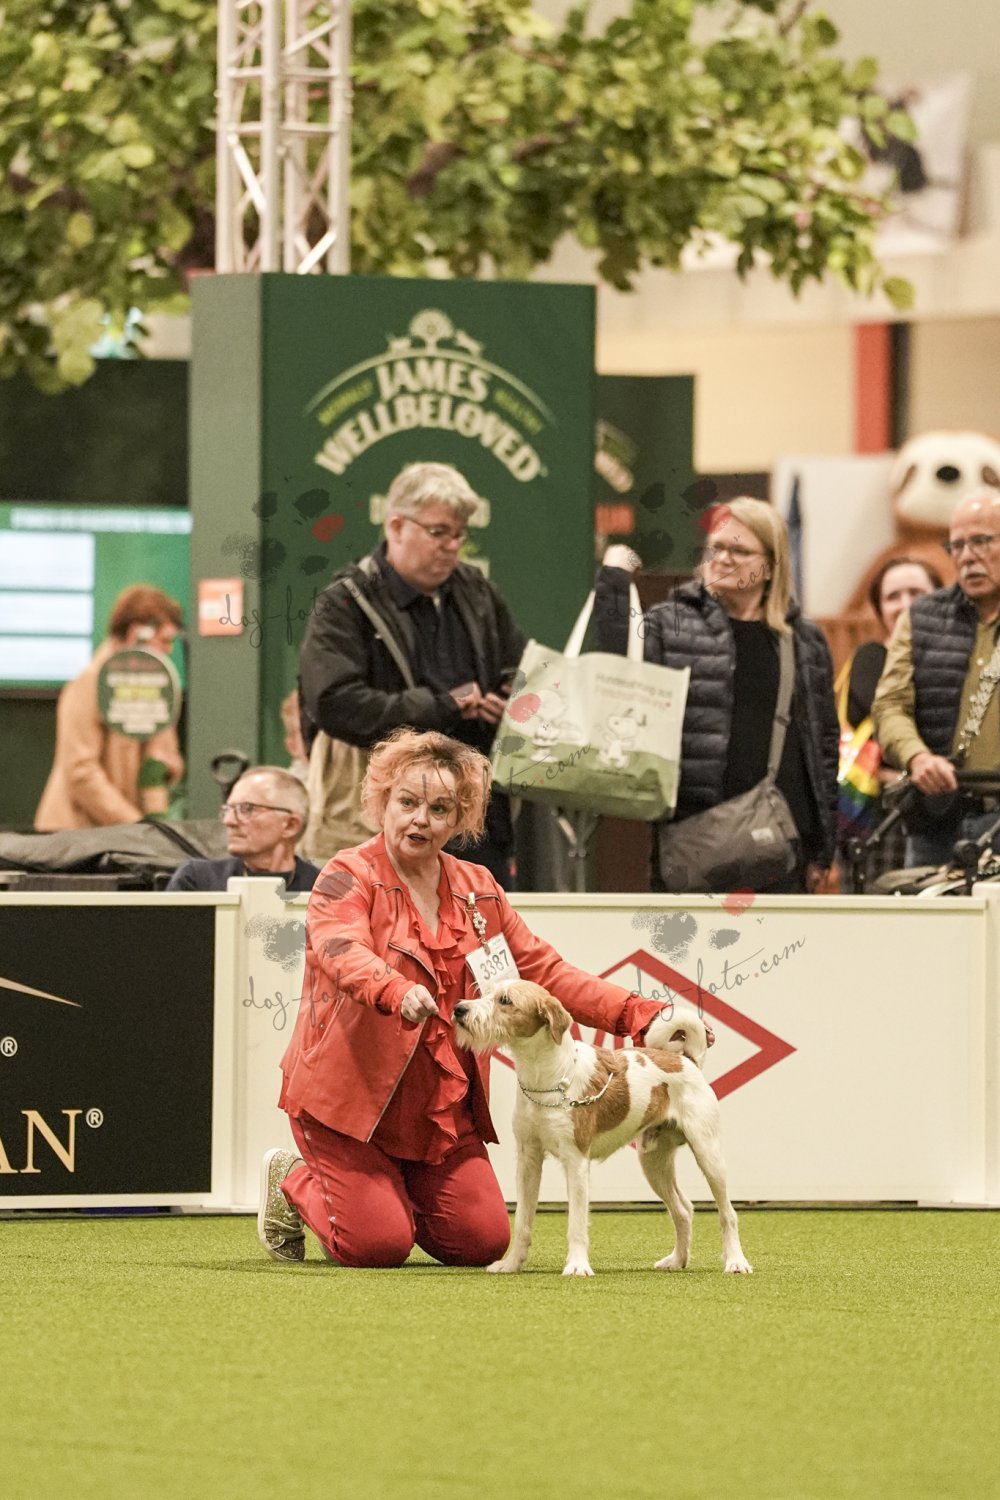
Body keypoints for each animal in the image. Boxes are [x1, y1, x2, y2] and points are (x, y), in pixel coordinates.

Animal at [453, 980, 752, 1278]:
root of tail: (686, 1059)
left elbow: (576, 1221)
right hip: (654, 1162)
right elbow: (523, 1221)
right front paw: (511, 1263)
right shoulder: (528, 1158)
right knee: (682, 1209)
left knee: (727, 1213)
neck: (548, 1075)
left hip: (707, 1152)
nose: (459, 1009)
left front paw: (576, 1265)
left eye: (505, 1000)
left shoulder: (576, 1160)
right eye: (486, 992)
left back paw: (736, 1262)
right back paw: (677, 1260)